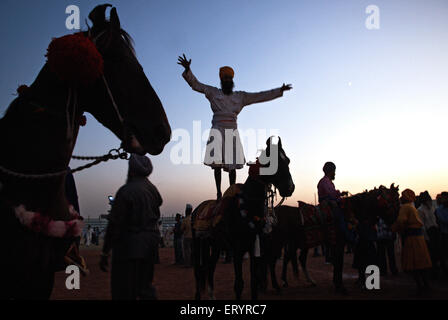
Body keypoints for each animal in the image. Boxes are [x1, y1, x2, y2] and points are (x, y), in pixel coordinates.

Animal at [192, 138, 294, 300]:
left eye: (288, 160)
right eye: (271, 161)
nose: (290, 187)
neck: (247, 205)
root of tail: (197, 209)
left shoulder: (255, 248)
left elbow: (254, 281)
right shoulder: (237, 250)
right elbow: (239, 284)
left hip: (215, 245)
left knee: (210, 266)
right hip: (198, 244)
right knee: (198, 270)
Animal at [266, 182, 402, 290]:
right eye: (395, 199)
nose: (395, 222)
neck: (349, 211)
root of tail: (273, 214)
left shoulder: (339, 243)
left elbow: (338, 262)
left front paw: (338, 283)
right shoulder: (340, 242)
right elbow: (339, 262)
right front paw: (340, 286)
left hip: (298, 243)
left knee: (294, 258)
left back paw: (298, 281)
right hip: (279, 242)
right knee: (273, 260)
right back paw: (277, 285)